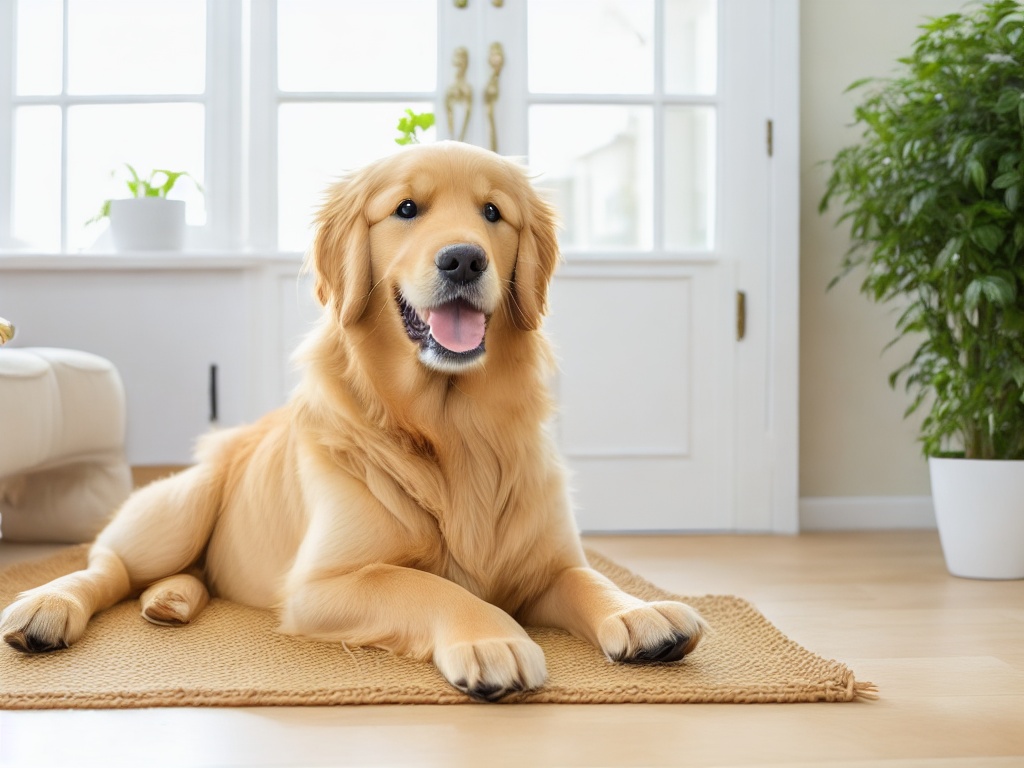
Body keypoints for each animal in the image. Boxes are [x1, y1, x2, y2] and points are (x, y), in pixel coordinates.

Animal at [0, 141, 704, 700]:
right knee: (107, 567)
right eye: (406, 210)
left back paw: (170, 599)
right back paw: (48, 606)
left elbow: (589, 576)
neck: (453, 430)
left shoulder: (544, 563)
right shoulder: (321, 584)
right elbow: (431, 587)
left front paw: (639, 612)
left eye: (493, 213)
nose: (464, 260)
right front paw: (489, 638)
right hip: (183, 502)